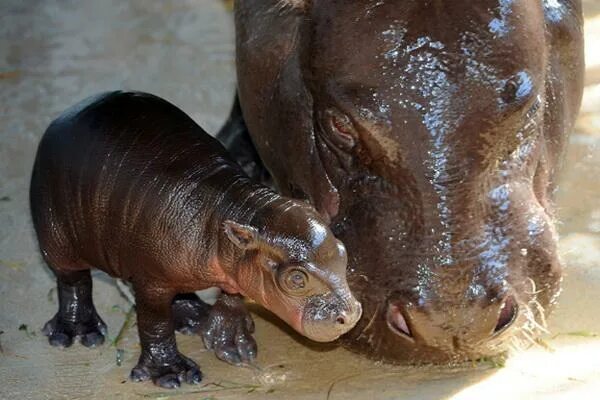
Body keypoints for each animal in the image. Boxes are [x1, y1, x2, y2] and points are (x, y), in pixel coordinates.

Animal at [29, 91, 360, 388]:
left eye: (342, 250)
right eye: (295, 279)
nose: (352, 314)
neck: (231, 211)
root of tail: (64, 116)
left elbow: (232, 293)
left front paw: (235, 345)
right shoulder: (152, 283)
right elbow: (155, 324)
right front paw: (173, 374)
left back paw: (194, 317)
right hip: (57, 238)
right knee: (73, 281)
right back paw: (78, 334)